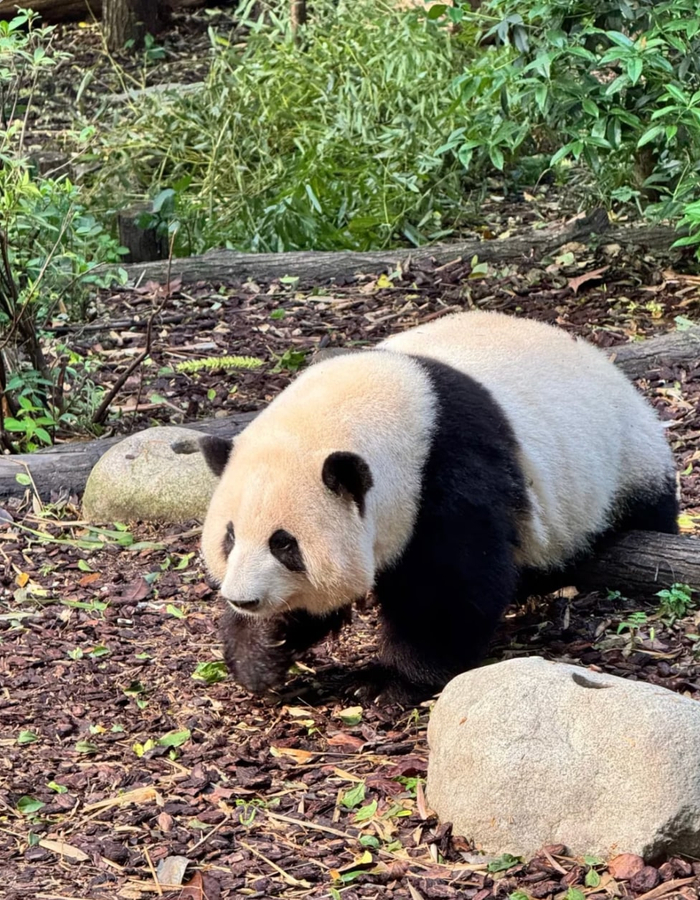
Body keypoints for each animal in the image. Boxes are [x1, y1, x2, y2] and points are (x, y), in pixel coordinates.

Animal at [199, 310, 678, 703]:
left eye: (285, 544)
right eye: (230, 538)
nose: (243, 598)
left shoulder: (447, 471)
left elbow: (452, 583)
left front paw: (386, 681)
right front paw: (261, 651)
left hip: (623, 460)